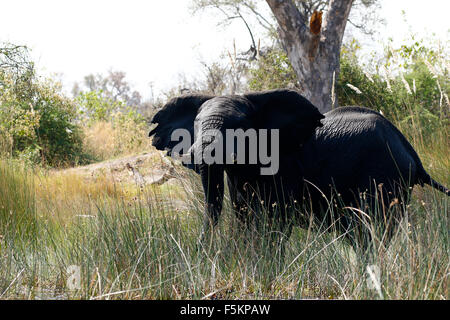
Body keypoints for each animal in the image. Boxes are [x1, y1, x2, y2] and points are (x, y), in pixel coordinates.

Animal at [150, 89, 450, 251]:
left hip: (385, 176)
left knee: (371, 228)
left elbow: (275, 223)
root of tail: (411, 151)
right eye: (196, 124)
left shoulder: (285, 169)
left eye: (241, 126)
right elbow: (245, 217)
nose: (200, 250)